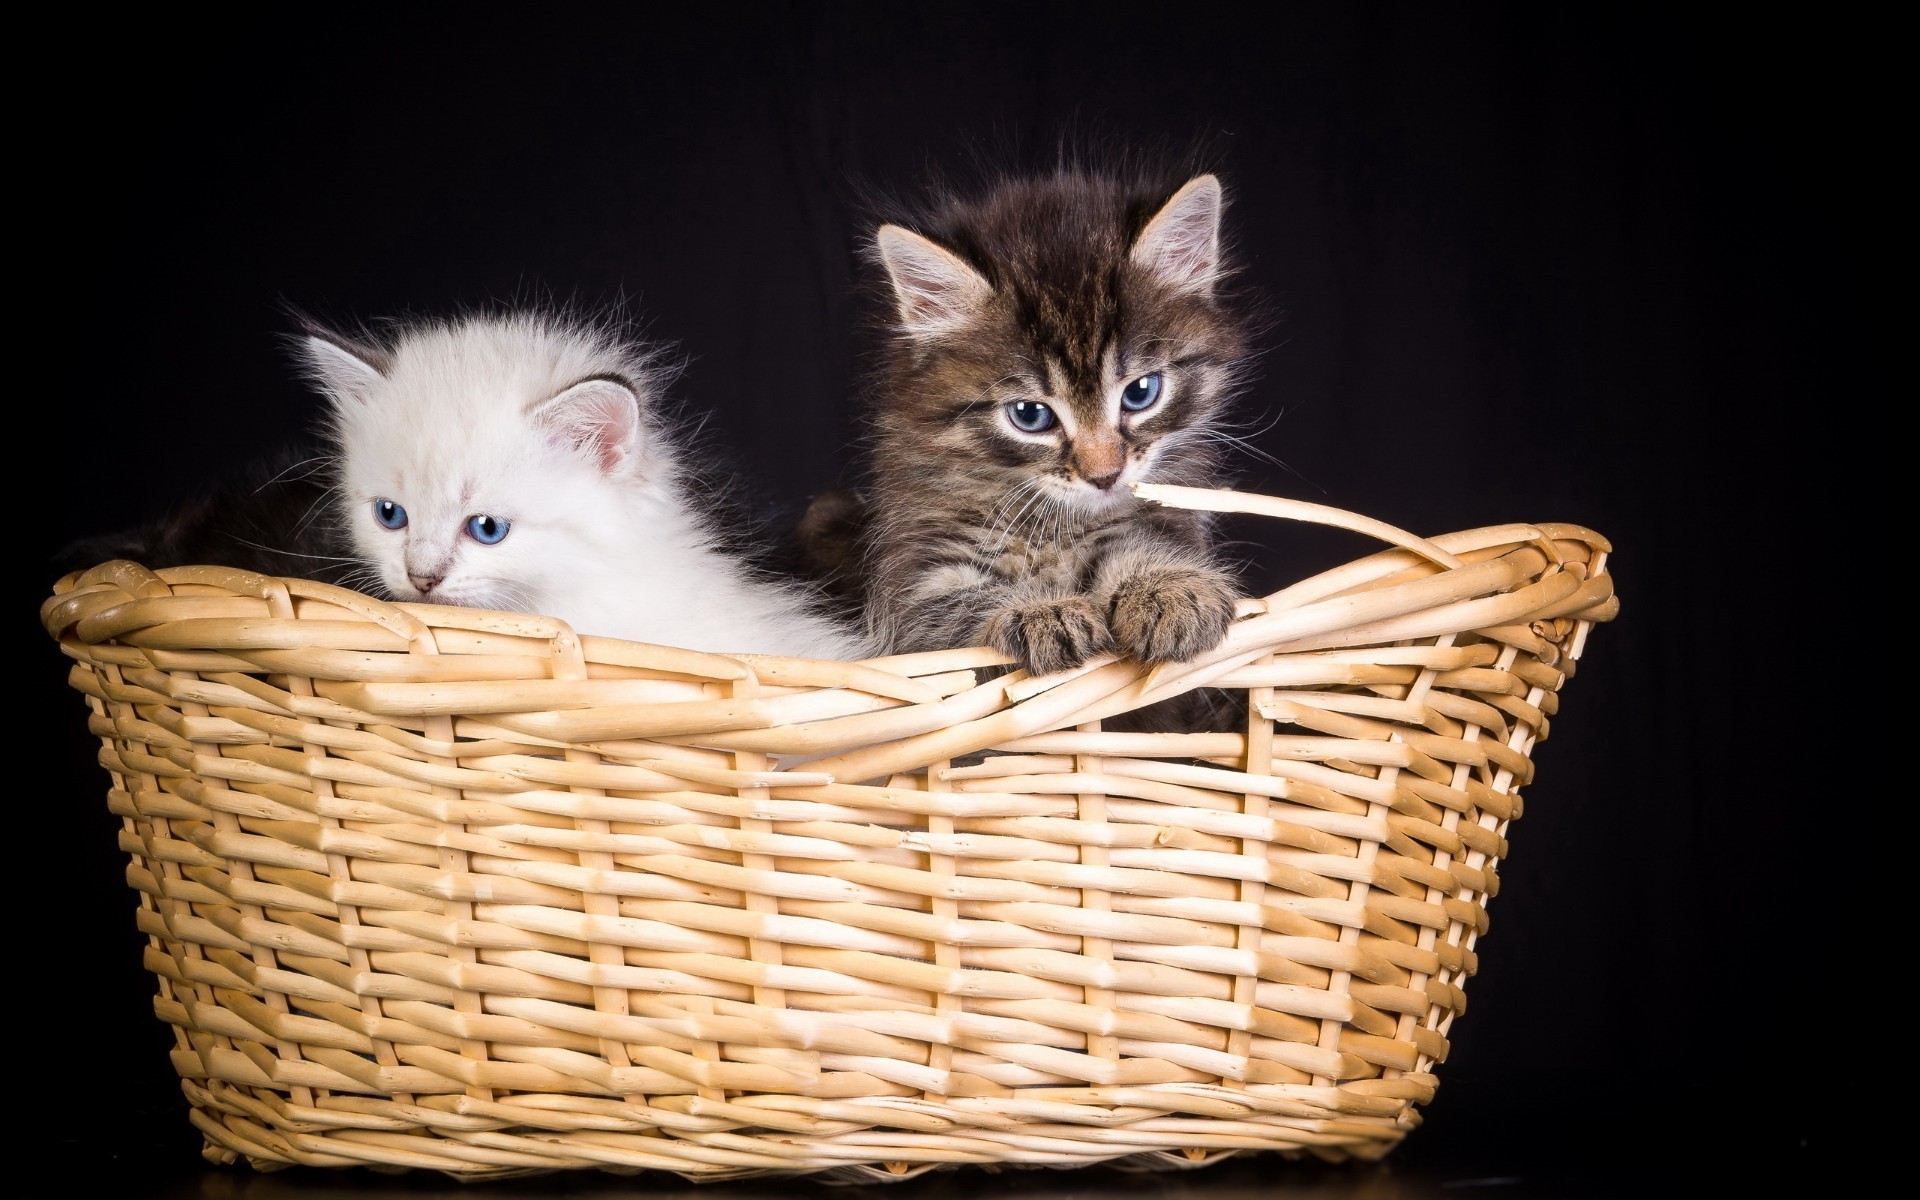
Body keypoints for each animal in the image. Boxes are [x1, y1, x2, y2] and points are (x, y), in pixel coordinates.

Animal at [856, 164, 1259, 698]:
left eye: (1141, 392)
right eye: (1030, 415)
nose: (1104, 476)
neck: (1053, 523)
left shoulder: (1166, 511)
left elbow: (1143, 541)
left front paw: (1168, 587)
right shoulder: (916, 581)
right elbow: (955, 610)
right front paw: (1038, 611)